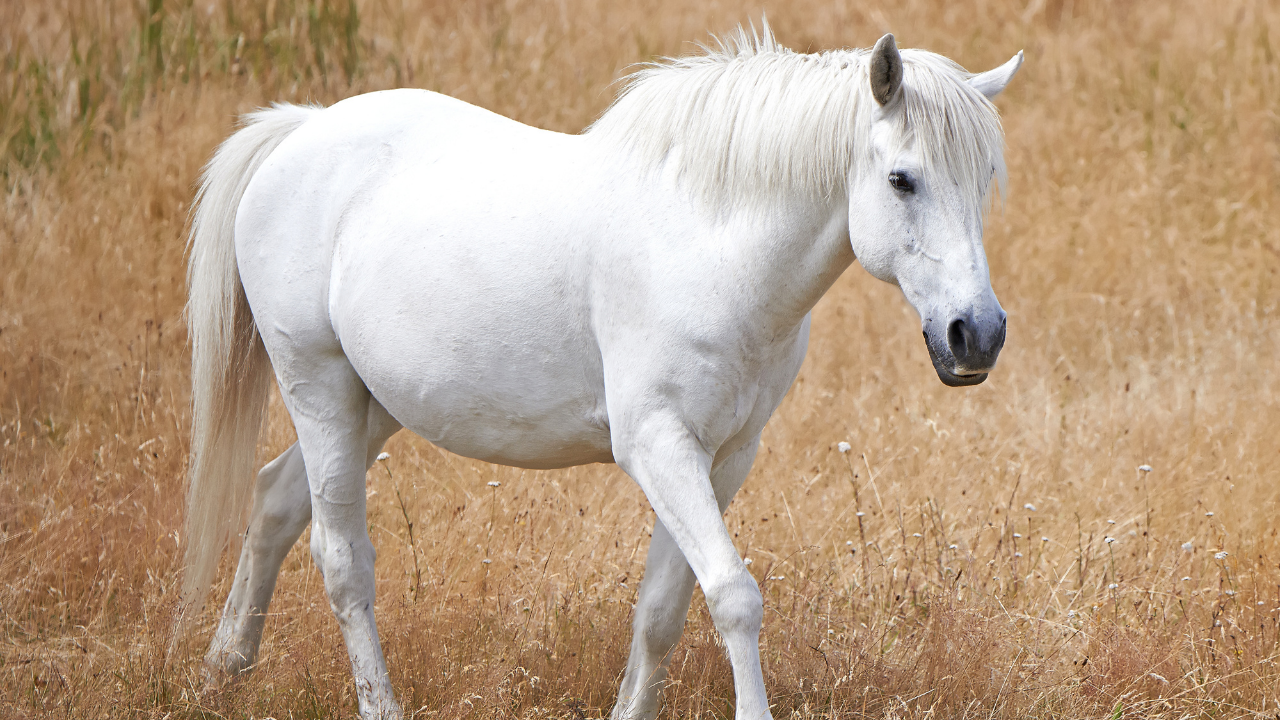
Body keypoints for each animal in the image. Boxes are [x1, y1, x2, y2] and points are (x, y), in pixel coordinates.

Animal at [182, 24, 1021, 720]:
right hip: (317, 385)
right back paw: (373, 704)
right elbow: (733, 595)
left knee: (276, 500)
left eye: (986, 176)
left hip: (372, 404)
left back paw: (225, 665)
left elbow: (662, 609)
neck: (709, 246)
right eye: (902, 180)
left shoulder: (723, 456)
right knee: (342, 559)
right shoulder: (657, 445)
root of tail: (299, 131)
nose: (976, 335)